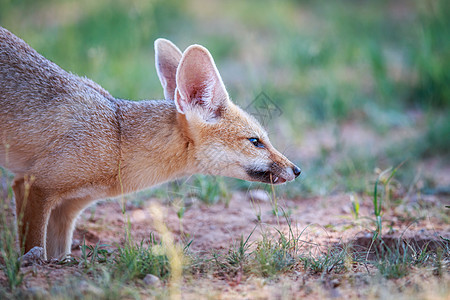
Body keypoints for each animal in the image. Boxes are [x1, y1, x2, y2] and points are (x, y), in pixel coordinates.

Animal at [0, 26, 302, 260]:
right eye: (256, 141)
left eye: (264, 139)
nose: (297, 170)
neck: (118, 139)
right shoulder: (33, 186)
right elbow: (34, 248)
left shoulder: (67, 209)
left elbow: (57, 255)